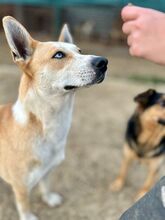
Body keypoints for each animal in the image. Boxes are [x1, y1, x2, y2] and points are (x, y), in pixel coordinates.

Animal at [0, 16, 108, 219]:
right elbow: (24, 204)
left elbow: (46, 184)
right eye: (58, 55)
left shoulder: (47, 169)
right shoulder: (20, 186)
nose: (103, 62)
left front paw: (49, 198)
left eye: (80, 51)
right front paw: (28, 217)